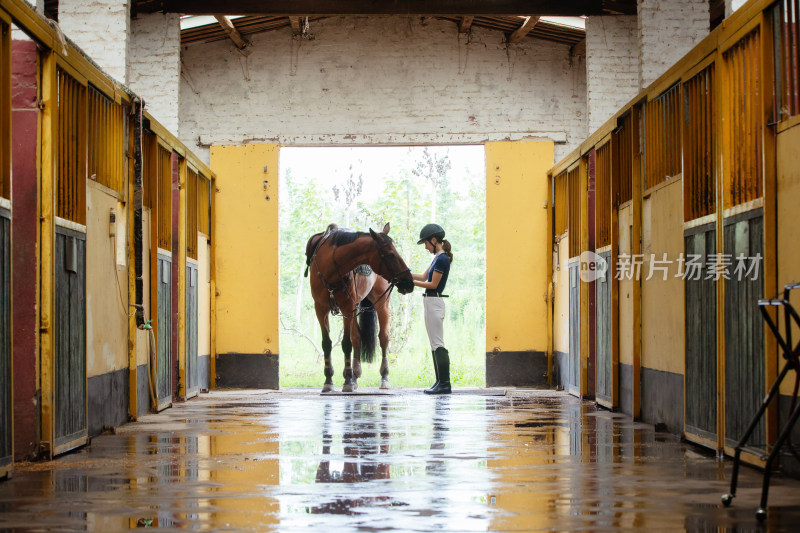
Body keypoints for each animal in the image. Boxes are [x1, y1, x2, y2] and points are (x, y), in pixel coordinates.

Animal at [304, 220, 412, 390]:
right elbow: (327, 343)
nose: (409, 281)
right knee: (357, 337)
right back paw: (355, 376)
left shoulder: (347, 307)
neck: (330, 267)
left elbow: (346, 343)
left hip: (382, 304)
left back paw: (383, 376)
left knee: (383, 338)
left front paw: (347, 380)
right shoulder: (321, 309)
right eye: (390, 254)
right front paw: (329, 380)